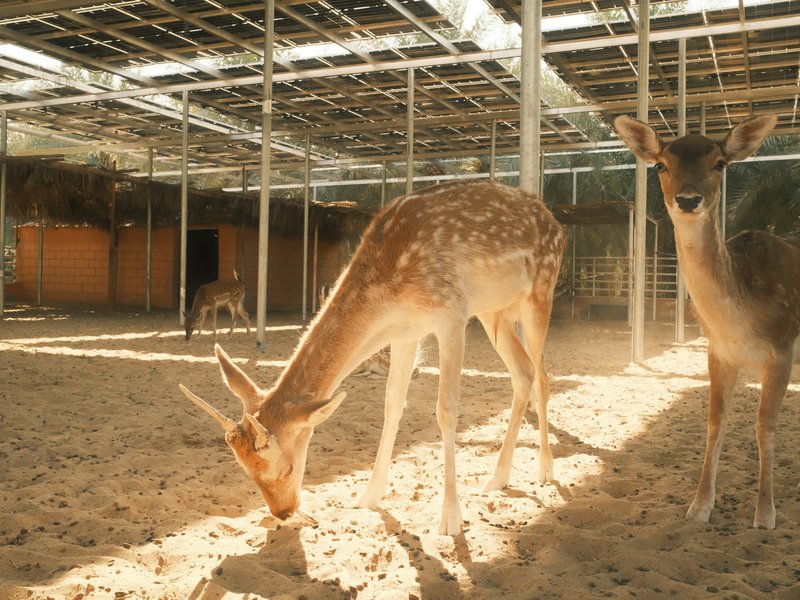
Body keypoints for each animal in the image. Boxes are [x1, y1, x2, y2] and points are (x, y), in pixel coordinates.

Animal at [178, 180, 566, 535]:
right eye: (245, 470)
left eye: (286, 467)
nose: (283, 513)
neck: (389, 291)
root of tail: (557, 225)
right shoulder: (406, 332)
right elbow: (392, 403)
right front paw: (368, 497)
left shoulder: (451, 314)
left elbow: (446, 409)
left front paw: (451, 519)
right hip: (493, 312)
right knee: (523, 373)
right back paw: (498, 478)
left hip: (540, 292)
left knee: (543, 375)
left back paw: (545, 470)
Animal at [614, 114, 800, 529]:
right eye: (660, 165)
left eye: (720, 164)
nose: (687, 199)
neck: (740, 322)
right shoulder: (718, 353)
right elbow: (715, 422)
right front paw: (699, 506)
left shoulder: (781, 349)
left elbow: (765, 425)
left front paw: (765, 513)